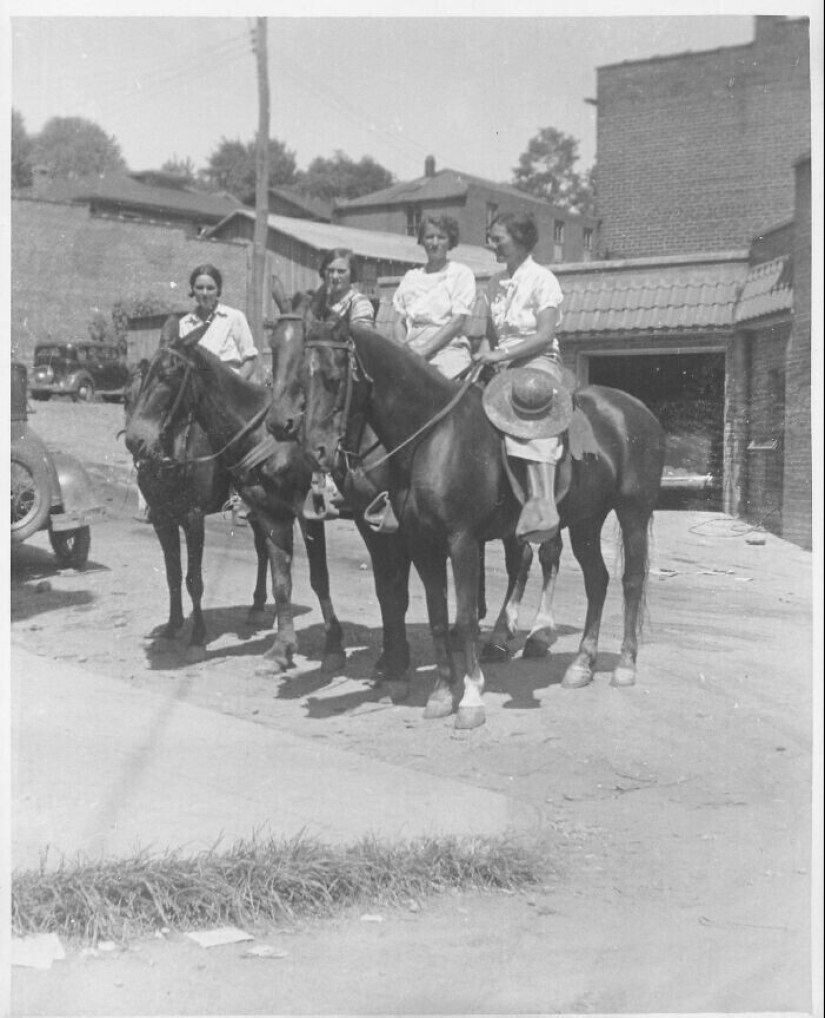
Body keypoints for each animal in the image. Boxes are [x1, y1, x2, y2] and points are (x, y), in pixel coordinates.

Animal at [122, 358, 270, 659]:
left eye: (163, 398)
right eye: (125, 398)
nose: (136, 444)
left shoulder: (193, 518)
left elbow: (194, 580)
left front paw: (197, 638)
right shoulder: (162, 519)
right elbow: (173, 575)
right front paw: (171, 627)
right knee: (263, 549)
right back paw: (257, 606)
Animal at [266, 317, 664, 724]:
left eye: (334, 378)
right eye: (300, 377)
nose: (315, 451)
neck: (433, 437)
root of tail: (635, 409)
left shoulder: (462, 541)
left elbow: (466, 616)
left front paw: (471, 698)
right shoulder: (422, 544)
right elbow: (438, 616)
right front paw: (441, 693)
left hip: (633, 512)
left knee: (631, 581)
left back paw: (623, 665)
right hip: (587, 520)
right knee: (596, 580)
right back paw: (582, 664)